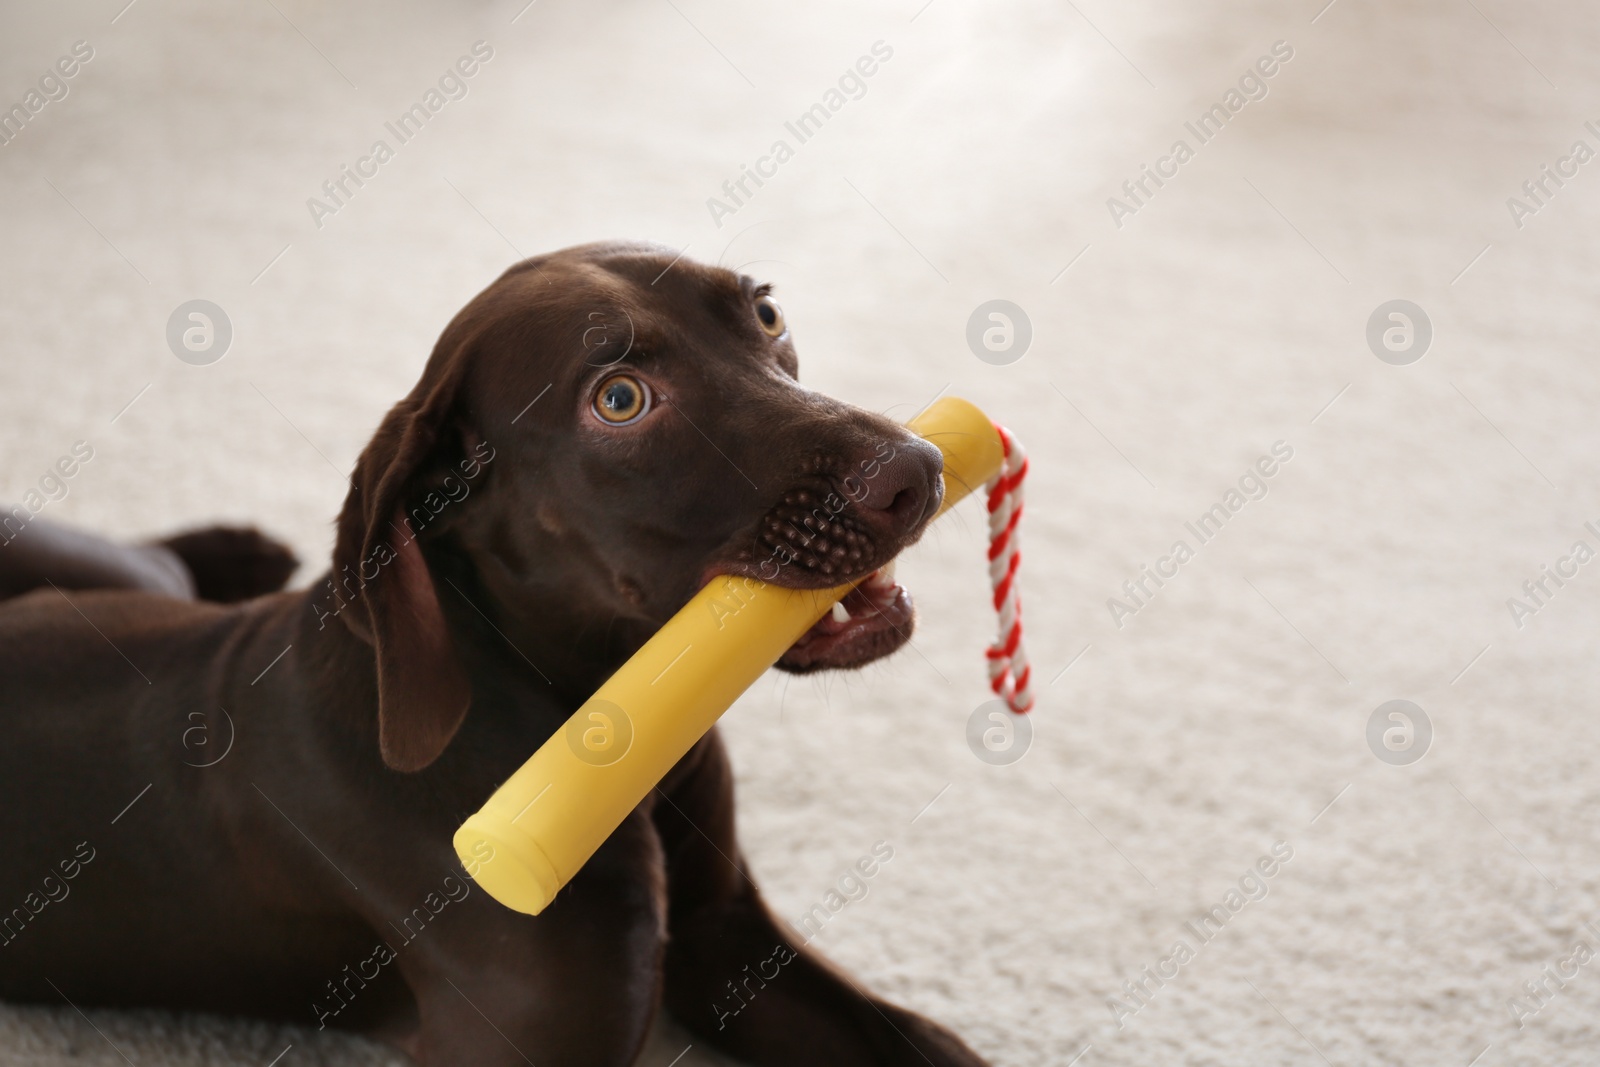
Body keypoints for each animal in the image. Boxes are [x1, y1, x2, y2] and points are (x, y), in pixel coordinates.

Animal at [0, 244, 985, 1067]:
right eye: (619, 399)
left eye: (767, 313)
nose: (917, 468)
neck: (603, 721)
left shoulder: (728, 937)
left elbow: (935, 1046)